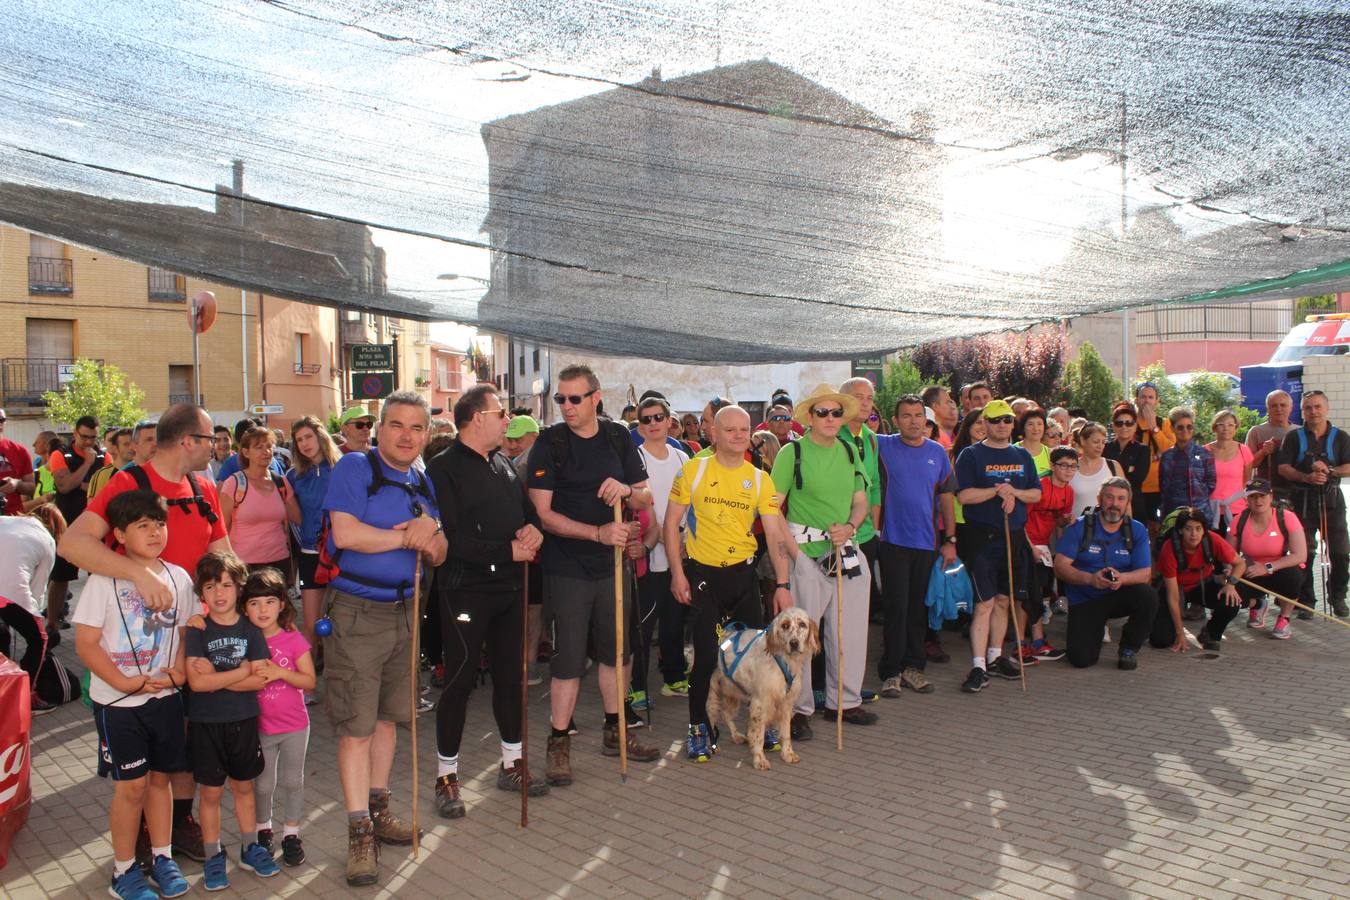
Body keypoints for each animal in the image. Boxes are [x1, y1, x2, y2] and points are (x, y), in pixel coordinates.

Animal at [707, 609, 820, 771]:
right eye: (785, 625)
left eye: (802, 625)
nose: (794, 643)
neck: (783, 659)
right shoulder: (760, 702)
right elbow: (758, 735)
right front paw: (759, 759)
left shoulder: (786, 703)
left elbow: (786, 733)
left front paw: (788, 754)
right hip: (712, 694)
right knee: (710, 718)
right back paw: (710, 746)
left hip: (732, 692)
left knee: (726, 714)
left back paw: (736, 736)